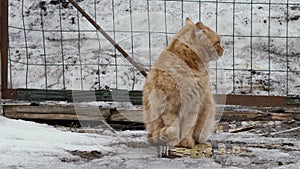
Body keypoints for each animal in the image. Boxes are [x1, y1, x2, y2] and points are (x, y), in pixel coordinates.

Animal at [142, 18, 223, 148]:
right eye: (218, 42)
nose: (223, 50)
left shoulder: (193, 105)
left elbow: (188, 128)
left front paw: (186, 141)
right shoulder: (169, 106)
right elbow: (173, 128)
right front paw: (174, 141)